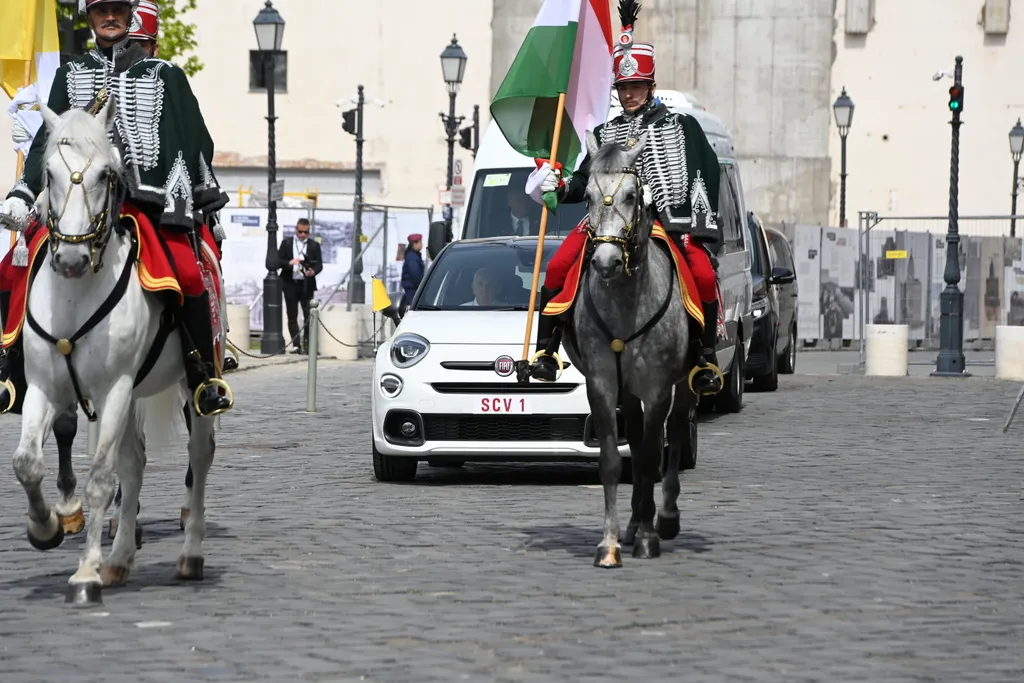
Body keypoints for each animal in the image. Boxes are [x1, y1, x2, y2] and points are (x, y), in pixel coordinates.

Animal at [11, 96, 226, 602]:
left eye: (105, 175)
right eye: (50, 174)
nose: (70, 258)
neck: (76, 297)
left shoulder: (115, 389)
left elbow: (99, 480)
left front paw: (85, 574)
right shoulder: (44, 388)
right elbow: (28, 463)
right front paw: (46, 528)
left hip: (188, 384)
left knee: (199, 454)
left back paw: (190, 553)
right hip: (130, 396)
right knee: (134, 462)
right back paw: (121, 557)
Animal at [561, 131, 704, 569]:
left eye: (630, 195)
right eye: (587, 195)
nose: (605, 261)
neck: (626, 301)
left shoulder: (659, 388)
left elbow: (651, 457)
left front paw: (648, 536)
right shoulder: (603, 383)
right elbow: (614, 460)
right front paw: (609, 544)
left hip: (685, 383)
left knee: (674, 434)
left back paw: (665, 517)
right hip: (628, 389)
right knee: (640, 442)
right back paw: (636, 520)